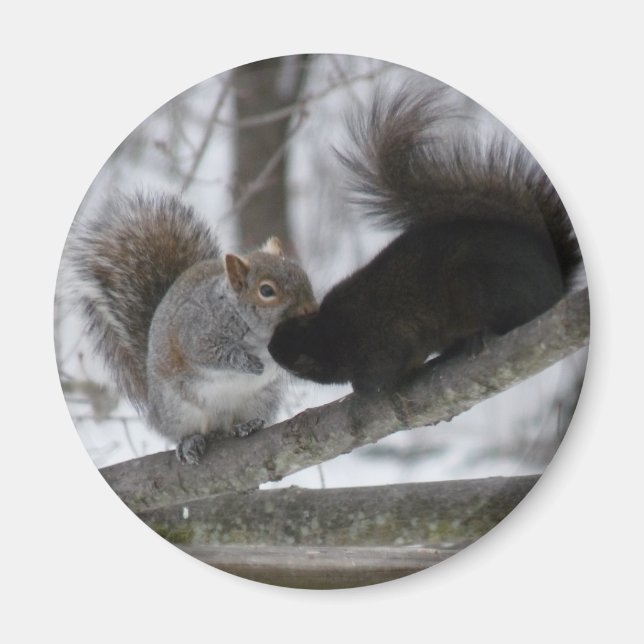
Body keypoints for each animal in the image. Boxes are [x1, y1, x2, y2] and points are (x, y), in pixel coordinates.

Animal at [70, 193, 317, 464]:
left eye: (302, 273)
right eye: (266, 291)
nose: (310, 310)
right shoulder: (196, 333)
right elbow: (210, 354)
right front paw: (245, 362)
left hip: (261, 399)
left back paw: (245, 425)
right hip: (178, 408)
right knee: (189, 430)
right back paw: (190, 442)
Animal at [268, 88, 582, 394]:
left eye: (296, 361)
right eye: (286, 324)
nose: (269, 347)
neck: (334, 329)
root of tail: (555, 279)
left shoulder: (386, 339)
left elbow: (386, 367)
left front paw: (365, 387)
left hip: (484, 286)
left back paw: (480, 336)